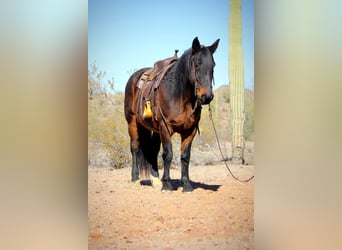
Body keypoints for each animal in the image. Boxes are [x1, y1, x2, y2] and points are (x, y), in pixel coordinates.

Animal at [123, 37, 219, 192]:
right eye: (197, 64)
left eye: (213, 65)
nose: (207, 97)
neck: (178, 96)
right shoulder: (165, 127)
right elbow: (168, 154)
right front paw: (167, 185)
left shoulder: (189, 131)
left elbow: (185, 156)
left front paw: (186, 185)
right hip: (132, 122)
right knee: (135, 147)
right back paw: (135, 178)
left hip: (155, 130)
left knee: (153, 150)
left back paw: (155, 180)